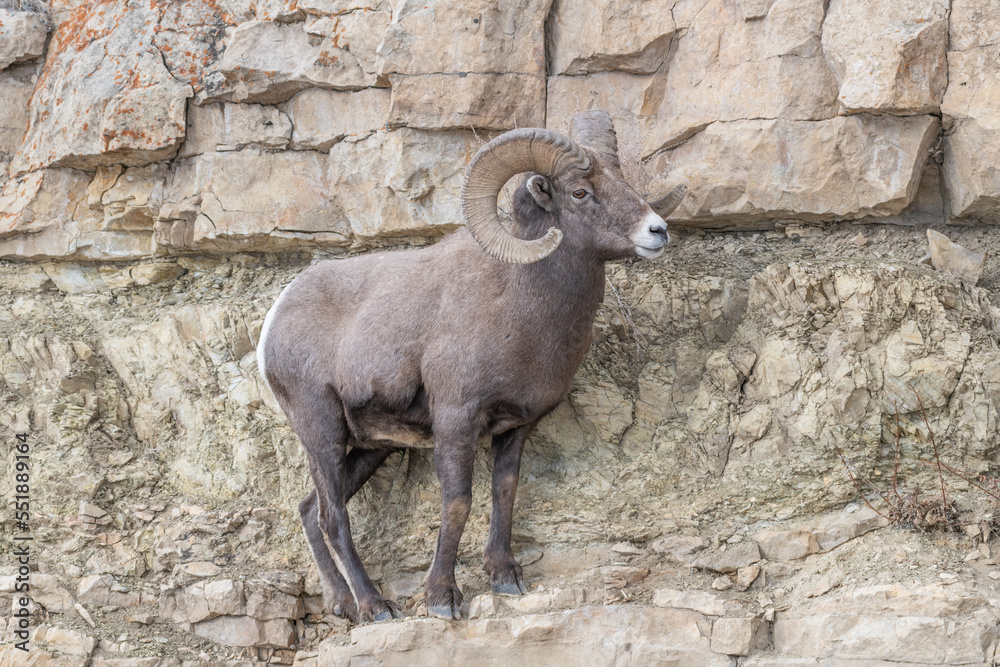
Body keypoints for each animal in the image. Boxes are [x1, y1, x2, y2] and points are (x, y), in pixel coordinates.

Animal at [257, 110, 688, 623]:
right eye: (580, 192)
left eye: (622, 182)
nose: (658, 231)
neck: (520, 305)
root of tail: (274, 320)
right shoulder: (456, 419)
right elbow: (458, 503)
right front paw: (442, 597)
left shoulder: (516, 426)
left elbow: (505, 491)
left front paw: (505, 577)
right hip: (321, 429)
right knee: (332, 517)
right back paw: (375, 606)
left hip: (369, 447)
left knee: (311, 510)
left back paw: (342, 604)